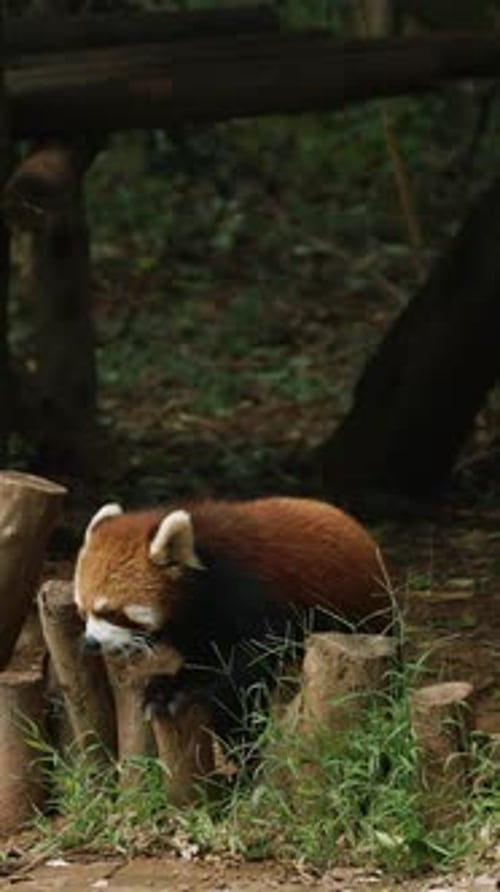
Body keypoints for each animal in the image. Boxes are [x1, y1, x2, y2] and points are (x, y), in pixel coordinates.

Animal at [74, 496, 391, 757]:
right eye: (82, 610)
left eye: (110, 612)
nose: (90, 642)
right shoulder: (196, 627)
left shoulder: (249, 596)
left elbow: (250, 658)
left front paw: (177, 689)